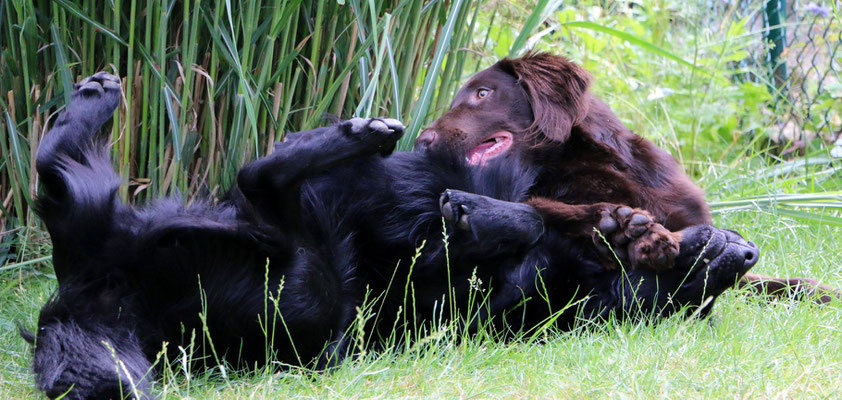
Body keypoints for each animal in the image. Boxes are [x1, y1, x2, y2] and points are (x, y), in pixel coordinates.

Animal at [24, 73, 756, 398]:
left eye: (702, 292)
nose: (746, 252)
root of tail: (98, 300)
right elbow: (527, 210)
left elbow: (511, 237)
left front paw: (482, 220)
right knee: (72, 185)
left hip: (306, 291)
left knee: (258, 181)